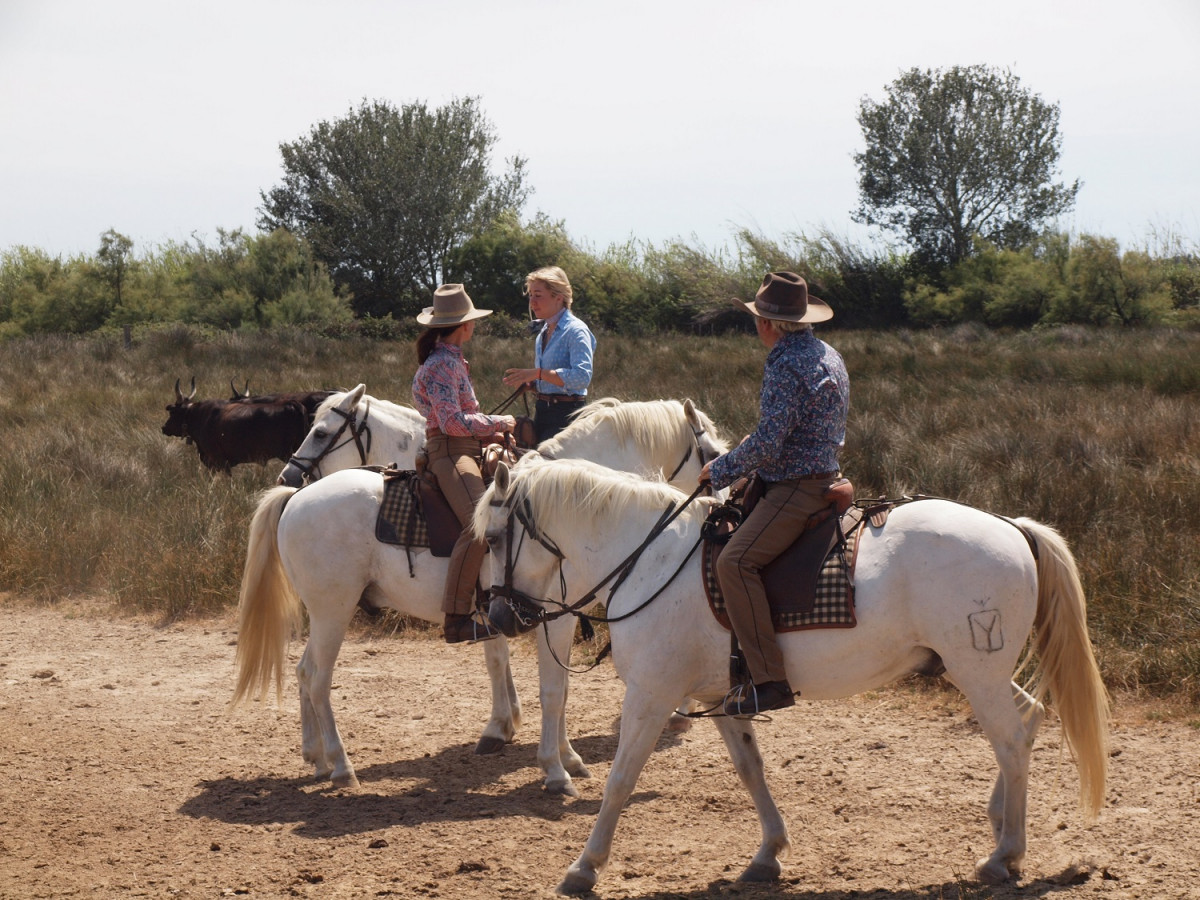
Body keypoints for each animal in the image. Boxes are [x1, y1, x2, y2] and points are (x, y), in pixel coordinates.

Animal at [229, 391, 724, 792]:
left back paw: (316, 758)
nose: (287, 474)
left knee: (302, 672)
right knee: (317, 678)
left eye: (320, 432)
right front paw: (553, 767)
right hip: (333, 612)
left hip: (323, 613)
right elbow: (551, 688)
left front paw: (555, 751)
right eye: (712, 452)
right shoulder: (554, 615)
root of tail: (295, 501)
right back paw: (340, 765)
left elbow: (543, 680)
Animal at [475, 460, 1104, 897]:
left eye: (494, 538)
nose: (498, 616)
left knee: (1012, 738)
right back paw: (1000, 826)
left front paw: (584, 867)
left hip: (977, 669)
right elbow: (750, 770)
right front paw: (768, 853)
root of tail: (1011, 526)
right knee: (1028, 721)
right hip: (970, 668)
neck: (648, 560)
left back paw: (1006, 854)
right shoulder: (720, 697)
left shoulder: (651, 696)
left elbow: (620, 782)